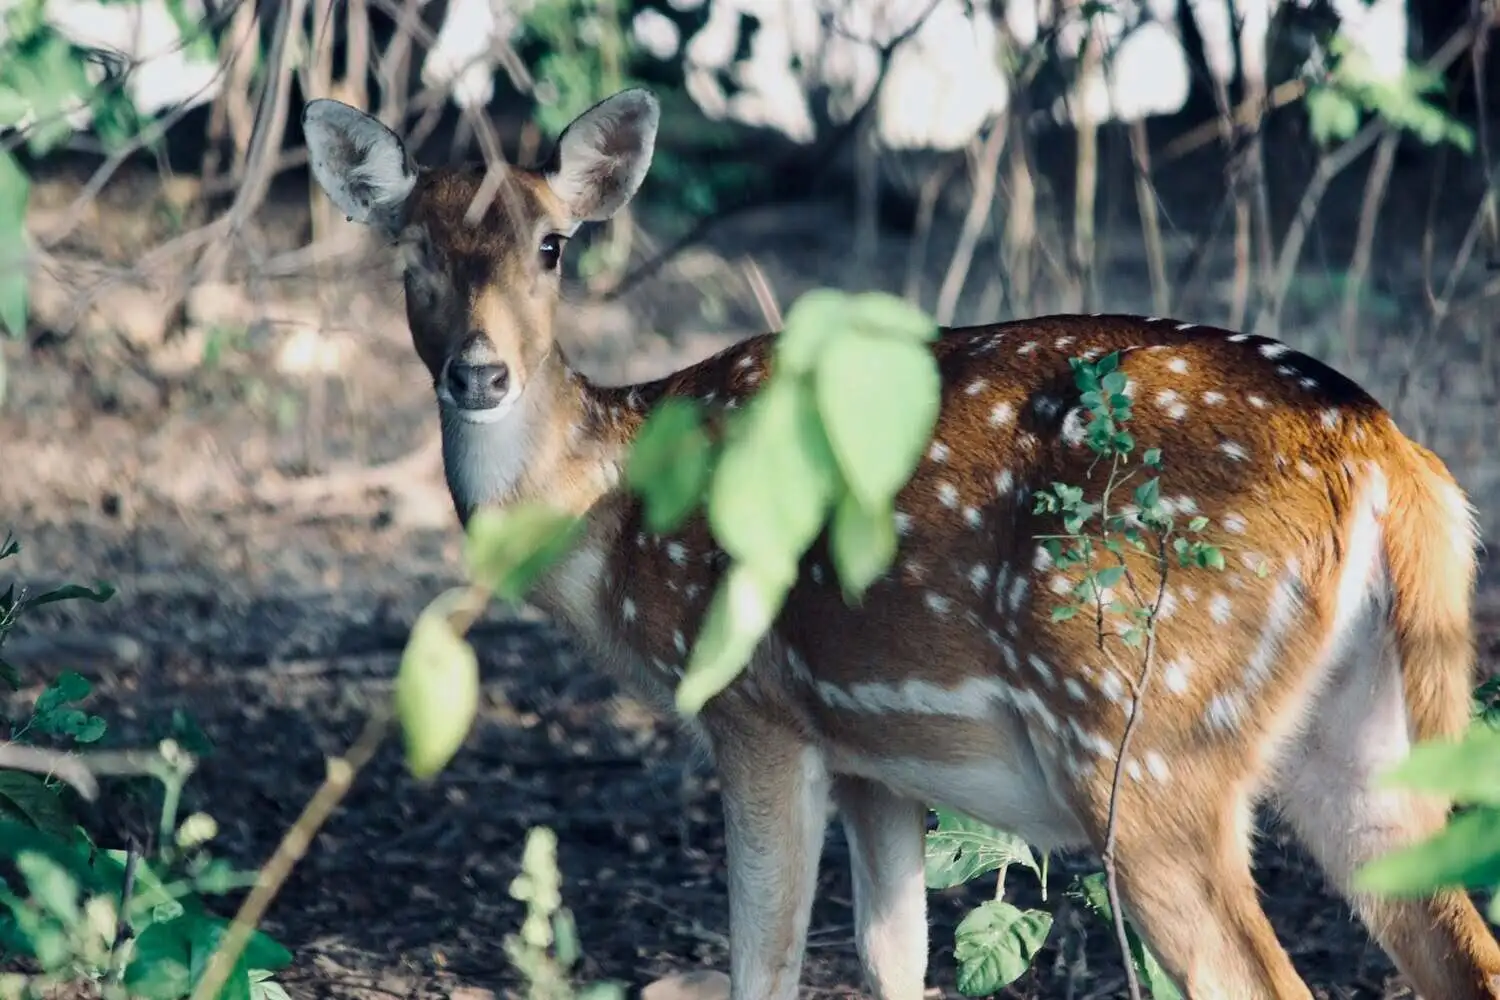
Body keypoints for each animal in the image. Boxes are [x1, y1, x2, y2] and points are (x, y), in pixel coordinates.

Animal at [301, 89, 1500, 995]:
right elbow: (895, 961)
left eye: (553, 245)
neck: (612, 515)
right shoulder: (876, 753)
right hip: (1361, 741)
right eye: (412, 253)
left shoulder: (758, 706)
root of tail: (1390, 458)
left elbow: (767, 968)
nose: (480, 372)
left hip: (1146, 732)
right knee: (1460, 950)